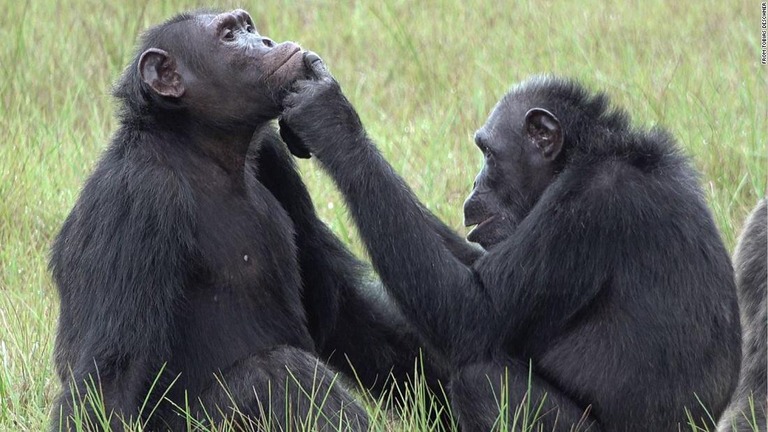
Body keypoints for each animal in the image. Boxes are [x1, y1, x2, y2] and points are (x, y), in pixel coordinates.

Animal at [48, 10, 450, 432]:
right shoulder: (138, 198)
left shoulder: (274, 159)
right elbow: (113, 373)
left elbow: (340, 309)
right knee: (279, 372)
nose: (266, 41)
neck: (200, 147)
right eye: (229, 36)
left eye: (247, 27)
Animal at [280, 59, 744, 430]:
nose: (474, 184)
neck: (582, 156)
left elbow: (474, 312)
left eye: (488, 152)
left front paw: (330, 121)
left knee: (480, 380)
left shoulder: (591, 208)